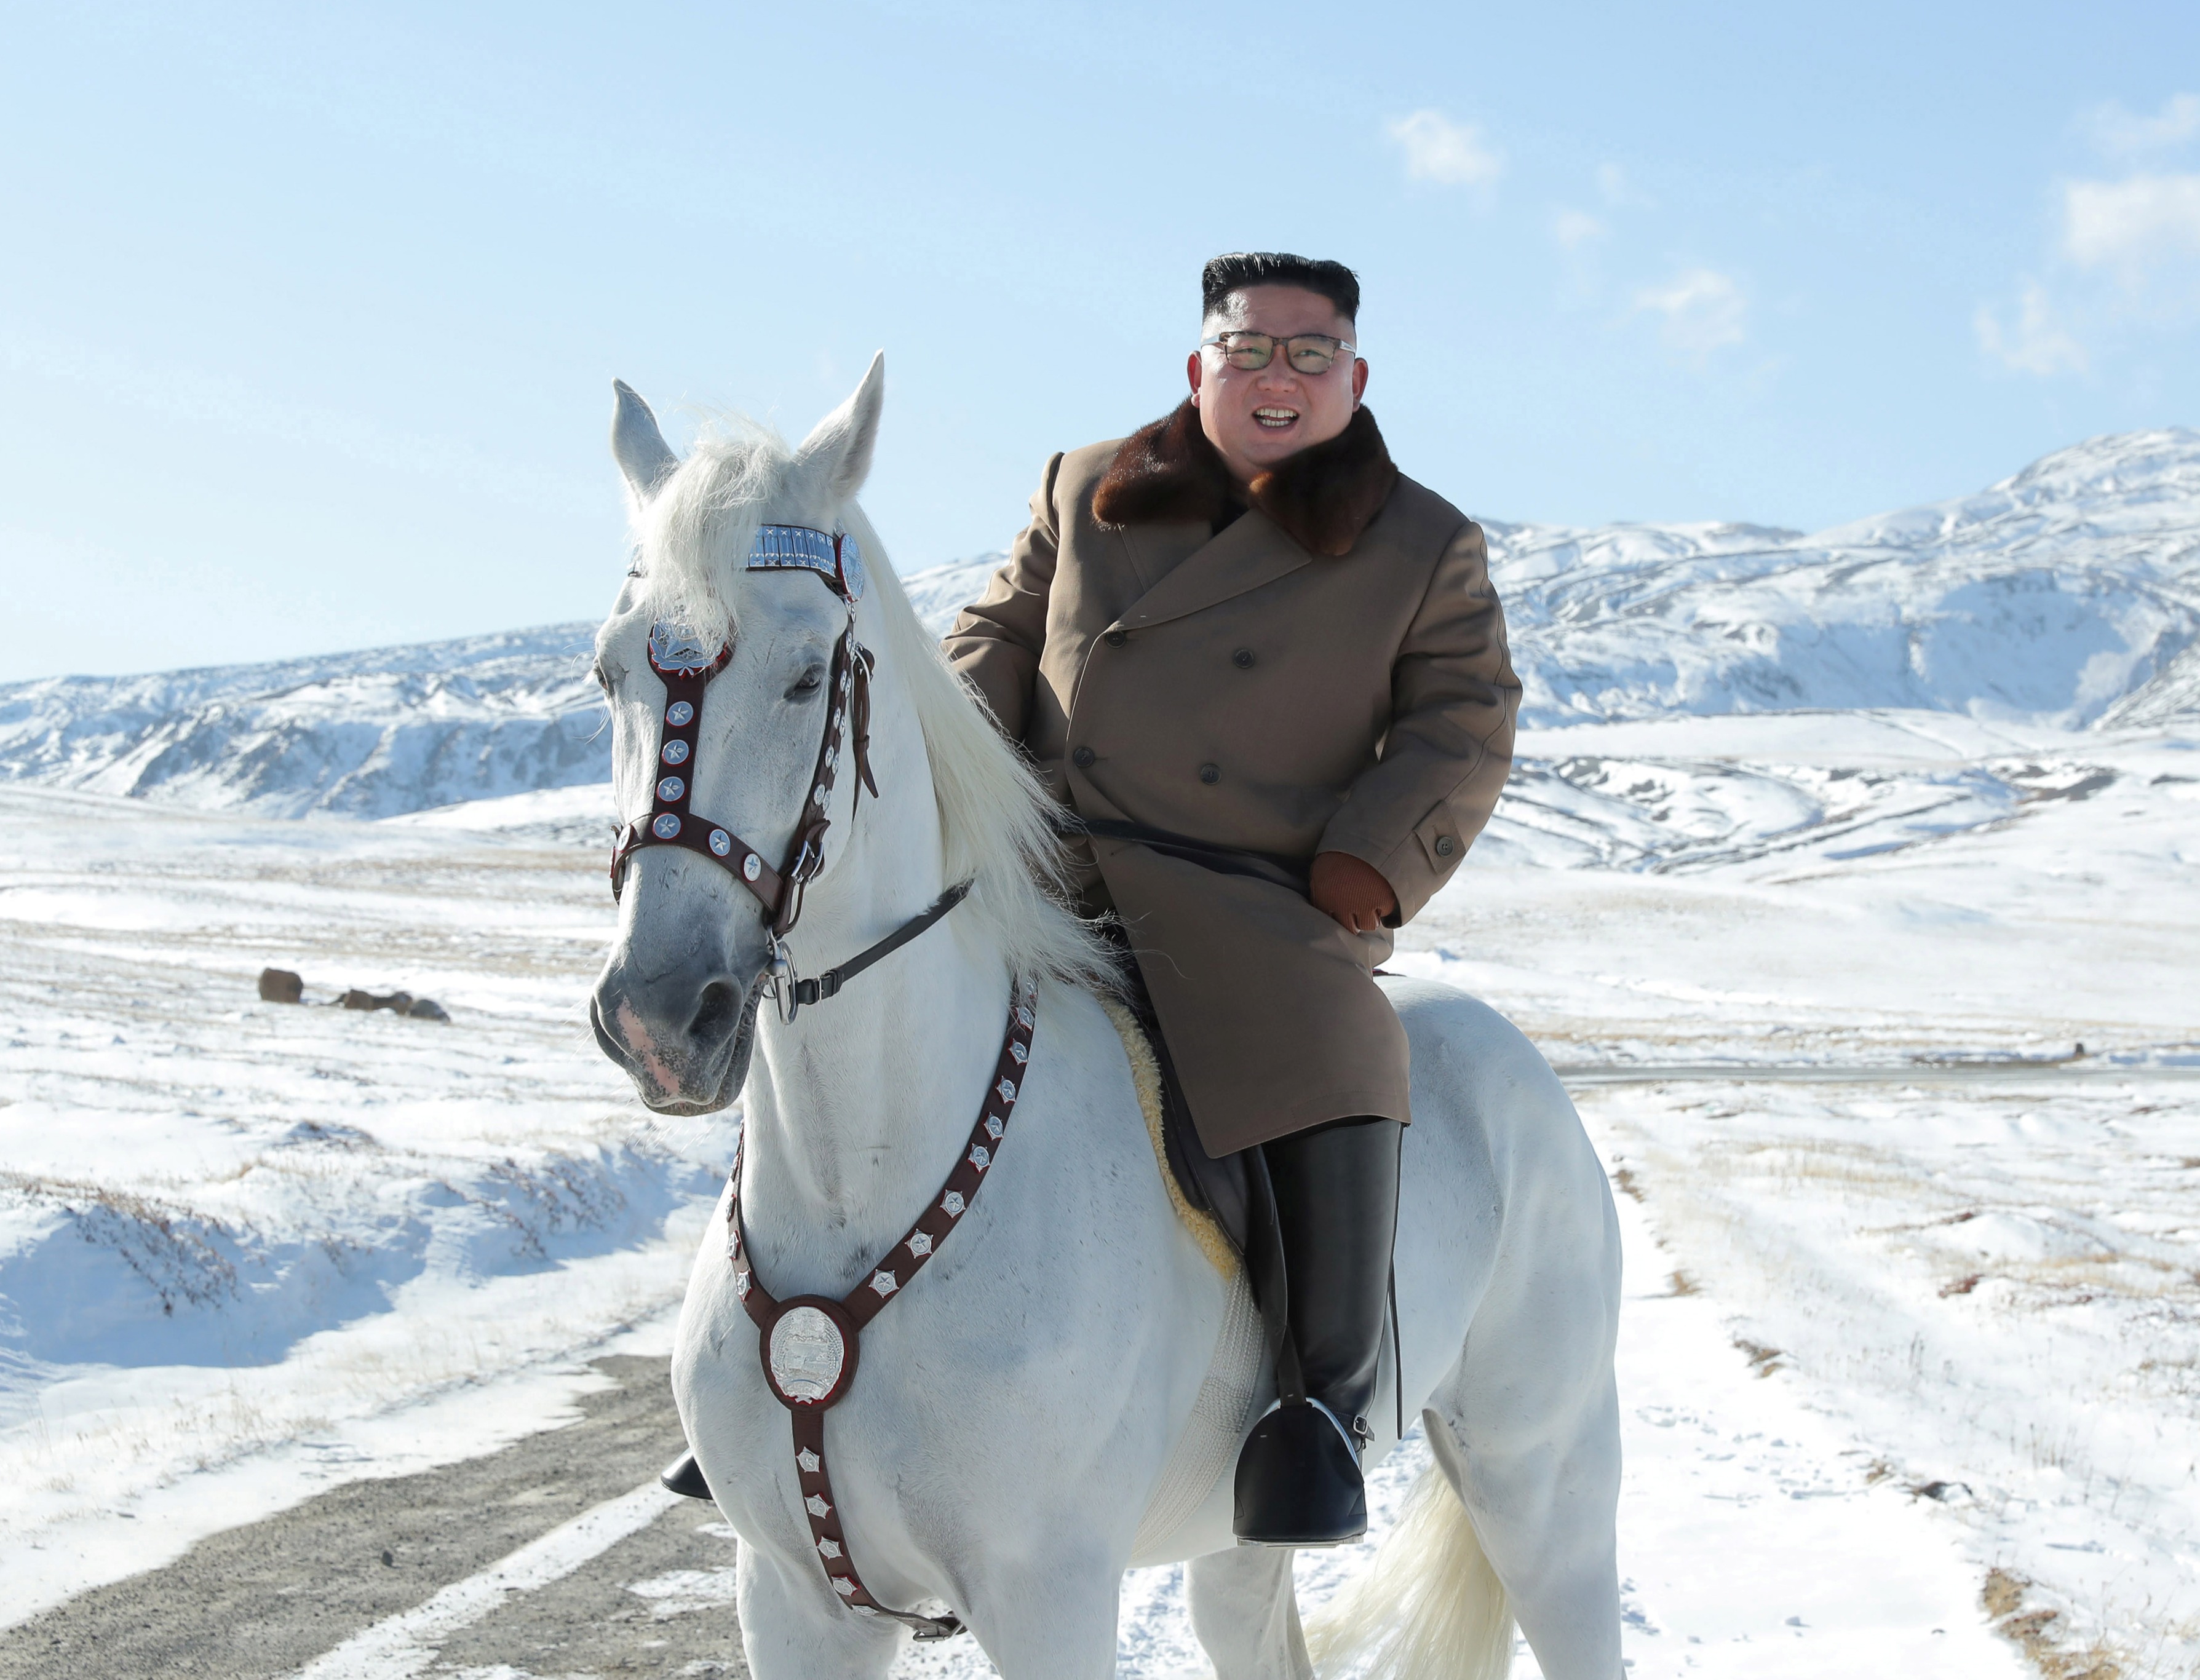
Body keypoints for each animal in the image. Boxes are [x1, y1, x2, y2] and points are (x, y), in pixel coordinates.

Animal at [594, 360, 1627, 1671]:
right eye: (609, 672)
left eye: (806, 672)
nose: (661, 1013)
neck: (854, 1182)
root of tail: (1525, 1070)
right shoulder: (791, 1596)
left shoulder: (1047, 1592)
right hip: (1243, 1546)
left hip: (1544, 1475)